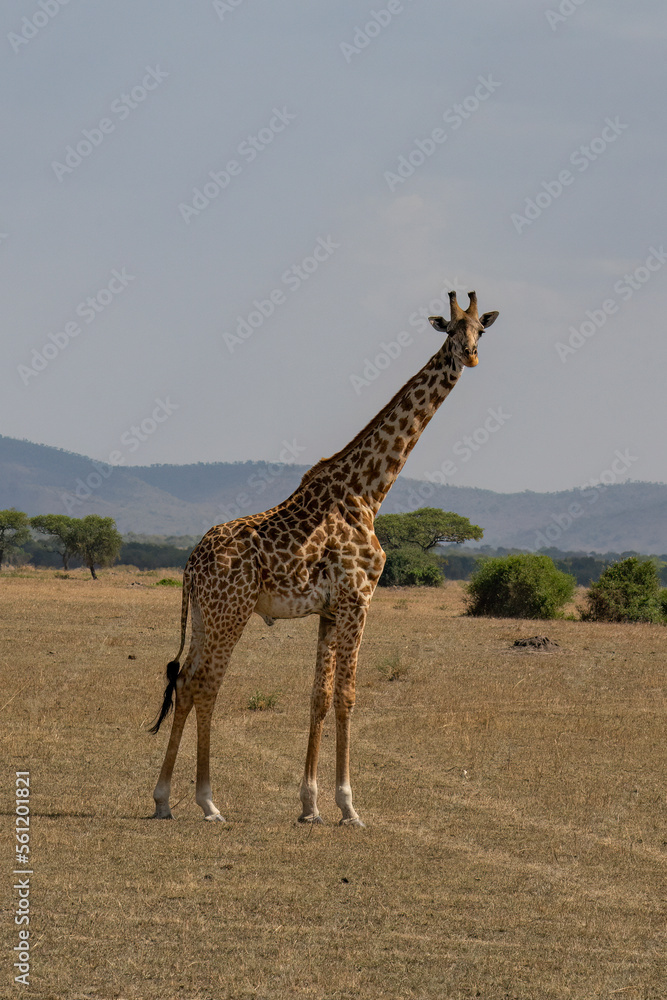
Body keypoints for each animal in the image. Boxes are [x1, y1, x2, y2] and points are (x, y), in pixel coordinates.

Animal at [150, 290, 499, 826]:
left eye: (481, 329)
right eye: (451, 330)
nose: (471, 356)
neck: (369, 491)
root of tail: (190, 563)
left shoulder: (330, 609)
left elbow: (319, 696)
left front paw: (310, 804)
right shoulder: (359, 599)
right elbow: (348, 696)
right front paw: (349, 806)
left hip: (208, 614)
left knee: (186, 683)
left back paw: (165, 798)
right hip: (231, 611)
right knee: (207, 685)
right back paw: (208, 802)